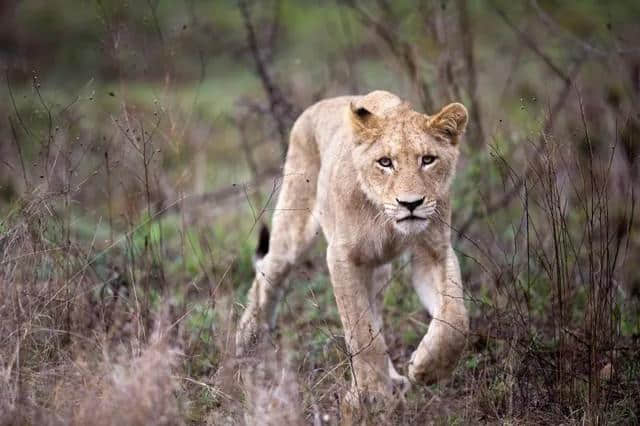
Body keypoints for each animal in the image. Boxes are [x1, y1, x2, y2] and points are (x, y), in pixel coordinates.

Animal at [235, 90, 470, 410]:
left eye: (428, 160)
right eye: (385, 162)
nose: (410, 204)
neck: (387, 221)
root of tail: (319, 104)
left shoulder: (434, 252)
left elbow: (455, 318)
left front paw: (427, 369)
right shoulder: (342, 257)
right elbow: (360, 330)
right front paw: (371, 393)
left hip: (378, 269)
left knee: (377, 310)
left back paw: (394, 377)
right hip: (293, 226)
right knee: (268, 273)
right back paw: (247, 341)